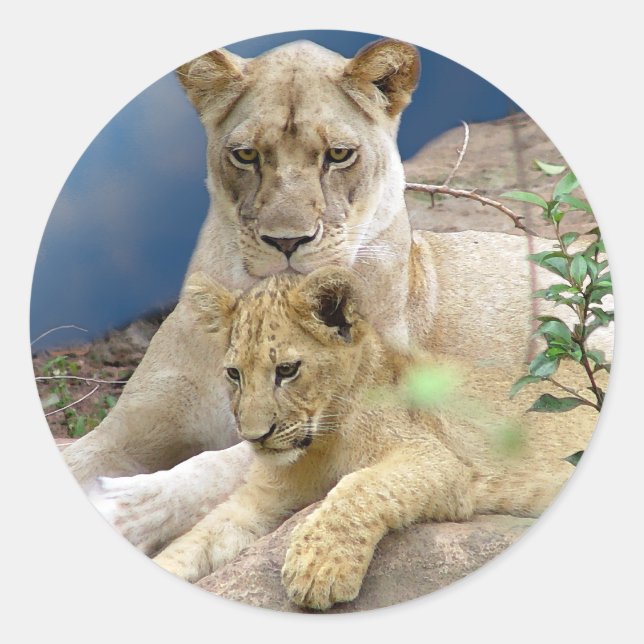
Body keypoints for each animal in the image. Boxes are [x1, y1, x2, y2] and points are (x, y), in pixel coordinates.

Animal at [65, 39, 611, 547]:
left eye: (339, 155)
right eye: (246, 155)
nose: (288, 241)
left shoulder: (342, 423)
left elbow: (227, 462)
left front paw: (127, 508)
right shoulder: (132, 424)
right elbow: (81, 454)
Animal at [150, 267, 599, 610]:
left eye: (287, 370)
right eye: (234, 374)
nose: (255, 437)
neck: (318, 448)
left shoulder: (439, 461)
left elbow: (360, 486)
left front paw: (318, 567)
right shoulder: (259, 502)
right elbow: (199, 537)